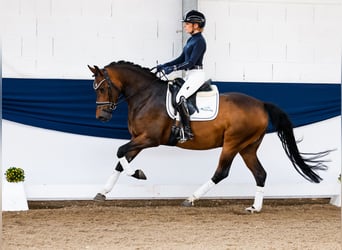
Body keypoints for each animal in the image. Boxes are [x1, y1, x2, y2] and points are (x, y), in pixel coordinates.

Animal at [87, 61, 330, 213]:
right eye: (95, 89)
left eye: (102, 89)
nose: (101, 117)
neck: (146, 95)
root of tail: (261, 104)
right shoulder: (139, 139)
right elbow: (121, 161)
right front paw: (102, 192)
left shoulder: (150, 139)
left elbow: (119, 152)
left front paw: (138, 174)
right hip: (248, 147)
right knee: (260, 174)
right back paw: (255, 208)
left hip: (232, 143)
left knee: (222, 172)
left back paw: (191, 199)